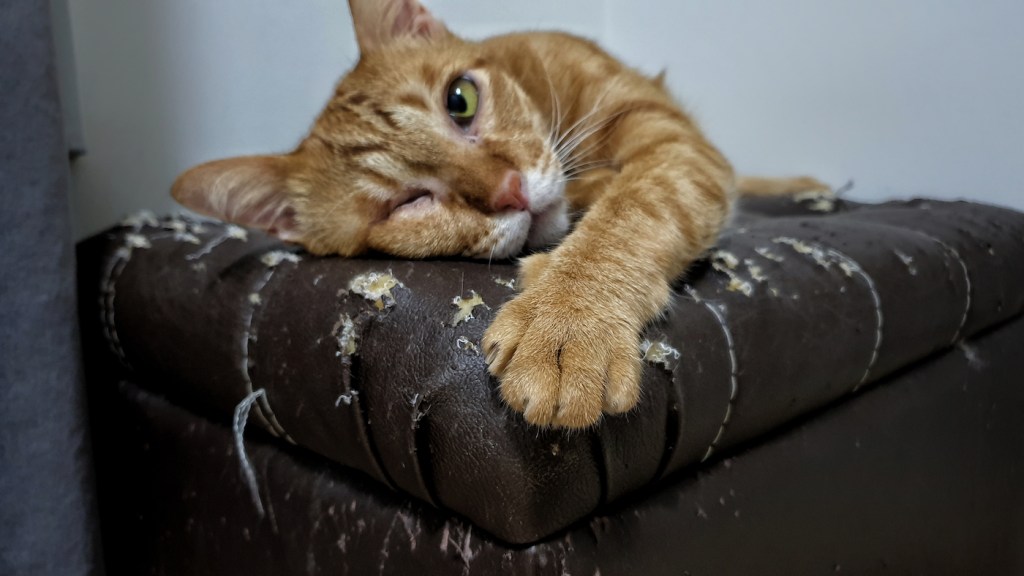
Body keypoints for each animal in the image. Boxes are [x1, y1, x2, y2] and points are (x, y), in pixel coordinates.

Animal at [172, 0, 827, 426]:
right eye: (405, 203)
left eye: (459, 100)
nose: (511, 190)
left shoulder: (674, 141)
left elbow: (633, 210)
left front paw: (571, 321)